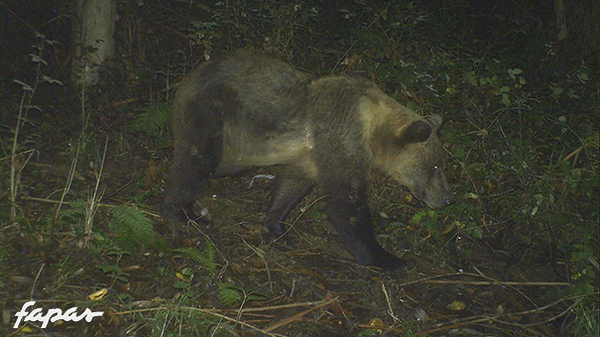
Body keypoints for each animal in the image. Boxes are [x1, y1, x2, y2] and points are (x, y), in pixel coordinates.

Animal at [162, 50, 452, 270]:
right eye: (437, 164)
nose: (448, 198)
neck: (372, 129)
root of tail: (188, 77)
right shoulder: (341, 138)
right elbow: (347, 205)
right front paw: (390, 259)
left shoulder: (311, 155)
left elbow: (292, 185)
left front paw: (277, 226)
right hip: (211, 111)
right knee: (197, 160)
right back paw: (184, 212)